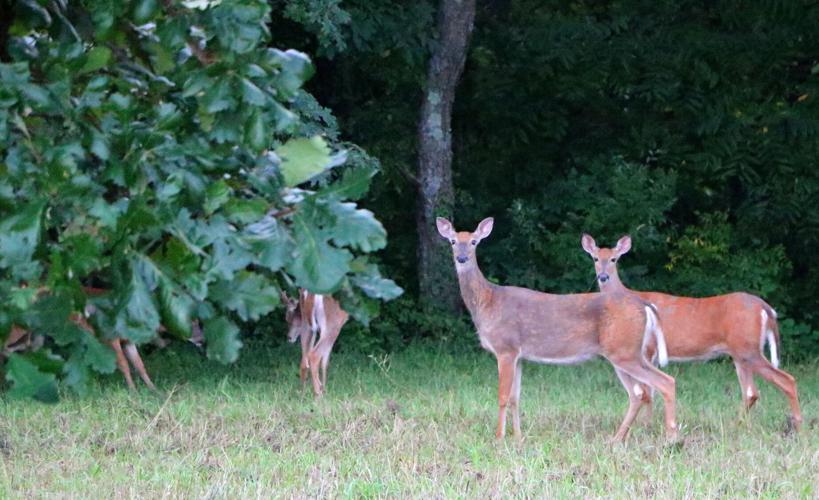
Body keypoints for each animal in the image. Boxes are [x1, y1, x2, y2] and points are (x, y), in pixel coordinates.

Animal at [436, 217, 679, 442]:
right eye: (453, 241)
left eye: (474, 242)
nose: (461, 258)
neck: (488, 302)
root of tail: (644, 304)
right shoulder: (519, 356)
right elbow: (516, 398)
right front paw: (518, 438)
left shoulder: (506, 348)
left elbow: (503, 396)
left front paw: (499, 438)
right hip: (624, 353)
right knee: (638, 393)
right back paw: (617, 439)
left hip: (625, 351)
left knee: (664, 382)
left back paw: (671, 438)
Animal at [581, 234, 802, 431]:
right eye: (595, 258)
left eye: (614, 259)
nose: (603, 276)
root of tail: (766, 308)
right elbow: (651, 390)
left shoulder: (648, 349)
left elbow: (649, 391)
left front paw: (646, 426)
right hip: (740, 354)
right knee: (751, 392)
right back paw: (736, 426)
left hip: (749, 349)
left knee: (787, 380)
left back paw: (798, 426)